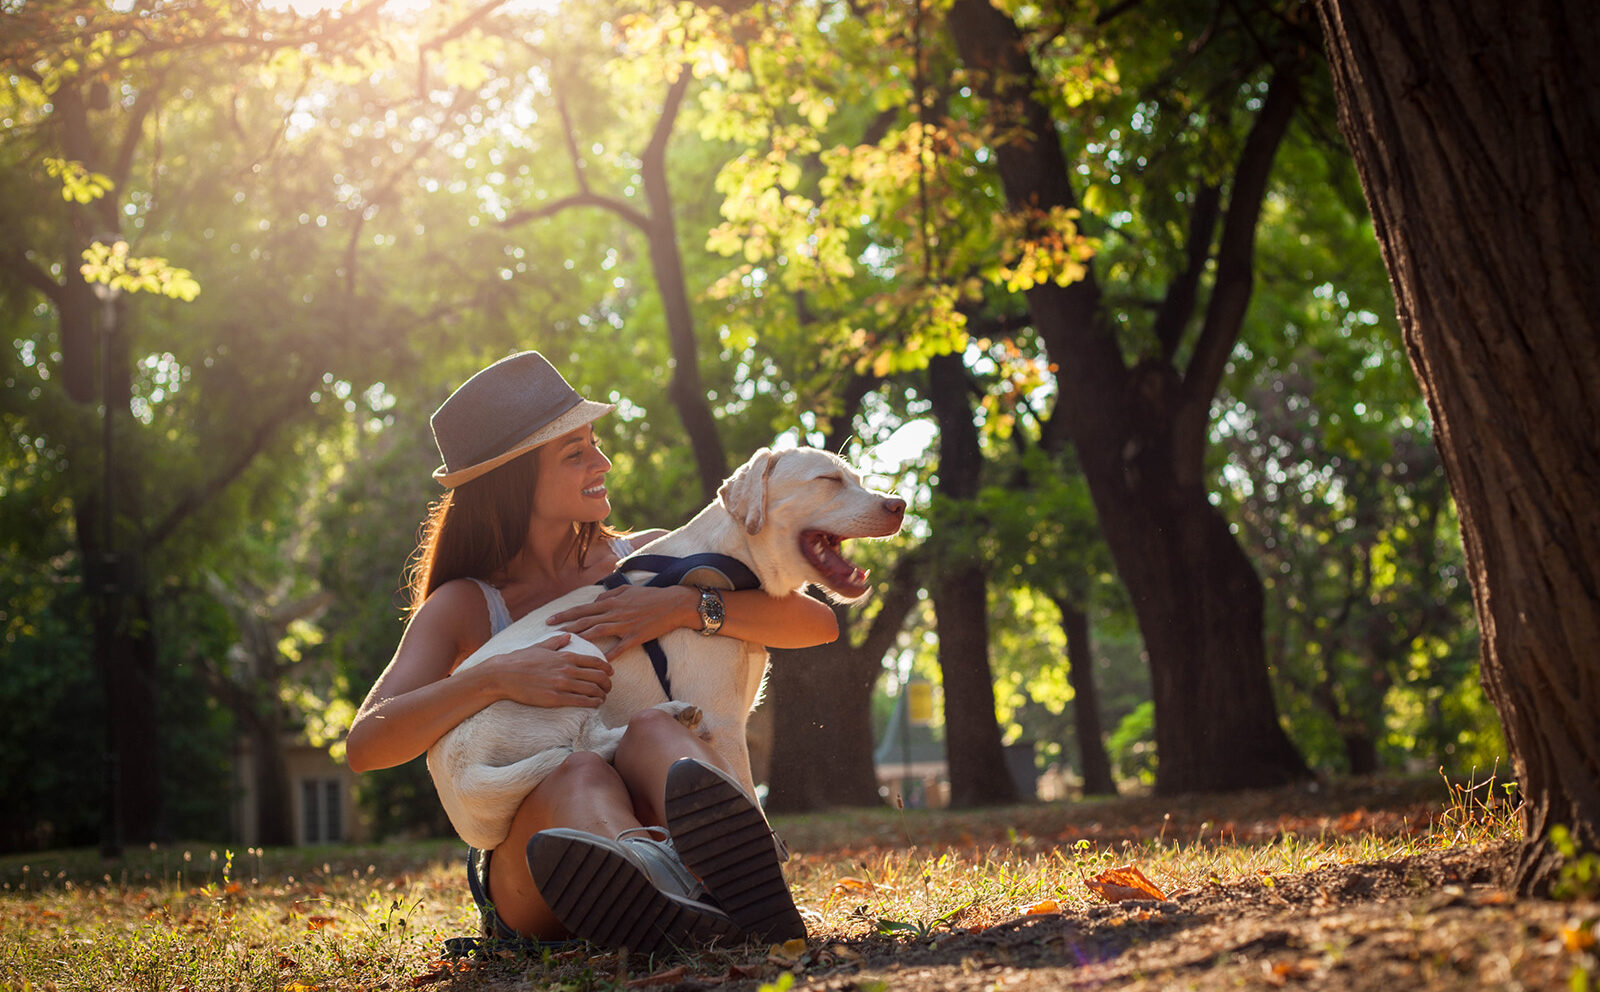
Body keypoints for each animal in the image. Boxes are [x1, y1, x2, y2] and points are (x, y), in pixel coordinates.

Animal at [428, 444, 902, 851]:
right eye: (828, 479)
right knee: (581, 747)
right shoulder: (727, 726)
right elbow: (753, 806)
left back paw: (672, 715)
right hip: (575, 655)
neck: (727, 559)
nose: (899, 506)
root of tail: (458, 777)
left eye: (858, 479)